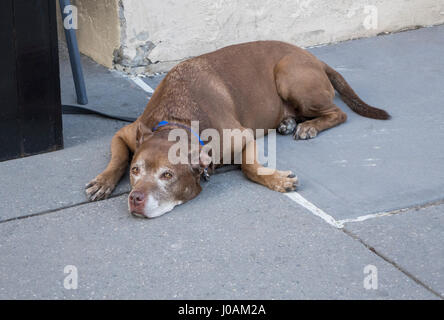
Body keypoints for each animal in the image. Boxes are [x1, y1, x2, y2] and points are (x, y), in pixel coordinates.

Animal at [86, 40, 388, 218]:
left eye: (167, 175)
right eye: (135, 171)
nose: (135, 197)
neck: (177, 120)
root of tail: (311, 56)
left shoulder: (242, 137)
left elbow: (249, 167)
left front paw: (277, 179)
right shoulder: (127, 133)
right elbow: (118, 157)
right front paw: (103, 181)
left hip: (289, 75)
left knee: (338, 113)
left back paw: (309, 127)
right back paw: (289, 121)